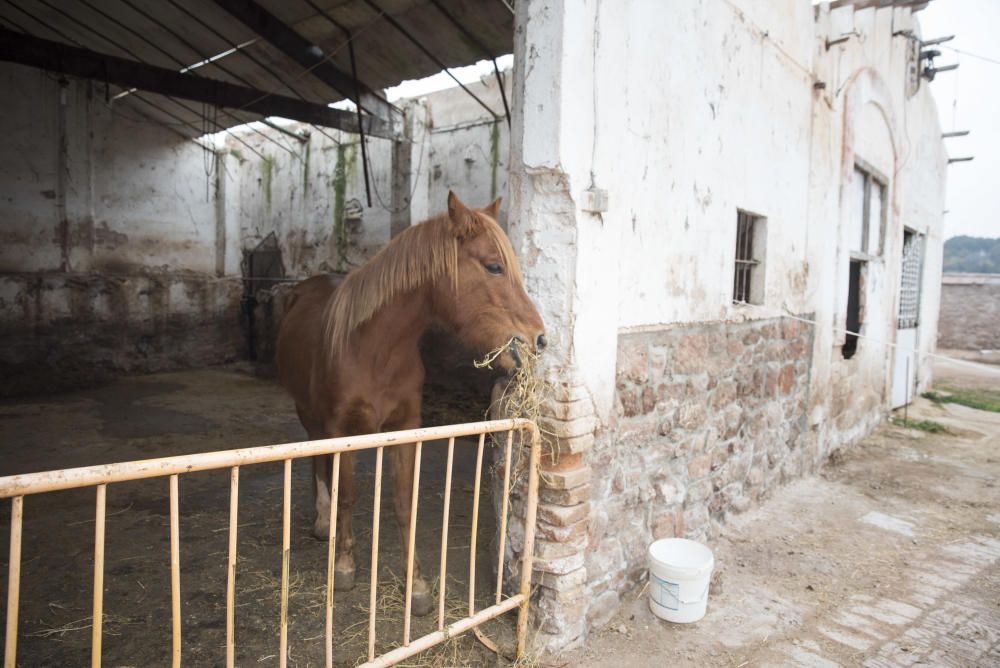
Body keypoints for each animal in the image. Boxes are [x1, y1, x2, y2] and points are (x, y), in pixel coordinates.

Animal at [274, 190, 548, 612]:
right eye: (494, 267)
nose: (539, 339)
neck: (374, 349)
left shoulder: (405, 428)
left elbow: (405, 503)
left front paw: (416, 583)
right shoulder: (340, 428)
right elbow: (347, 495)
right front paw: (344, 565)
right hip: (310, 414)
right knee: (318, 460)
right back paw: (323, 521)